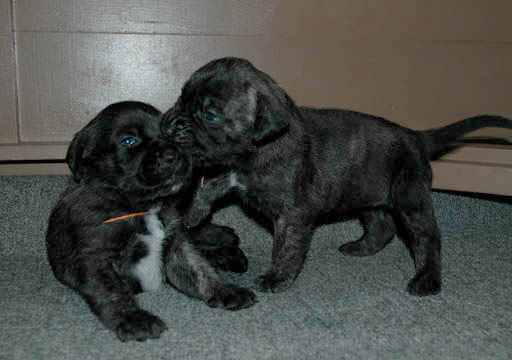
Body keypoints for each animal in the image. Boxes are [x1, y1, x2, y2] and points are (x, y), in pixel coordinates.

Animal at [47, 101, 255, 344]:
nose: (173, 154)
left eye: (170, 133)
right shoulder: (96, 258)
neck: (144, 205)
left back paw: (223, 241)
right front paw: (134, 319)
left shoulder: (176, 244)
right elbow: (113, 292)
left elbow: (199, 269)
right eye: (129, 141)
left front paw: (225, 290)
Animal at [162, 57, 512, 296]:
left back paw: (426, 279)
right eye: (180, 98)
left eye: (210, 114)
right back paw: (361, 248)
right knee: (382, 226)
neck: (259, 147)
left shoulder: (293, 215)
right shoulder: (234, 171)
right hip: (368, 196)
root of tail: (417, 136)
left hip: (410, 199)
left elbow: (286, 247)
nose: (170, 123)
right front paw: (194, 212)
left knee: (427, 237)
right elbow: (214, 183)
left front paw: (277, 277)